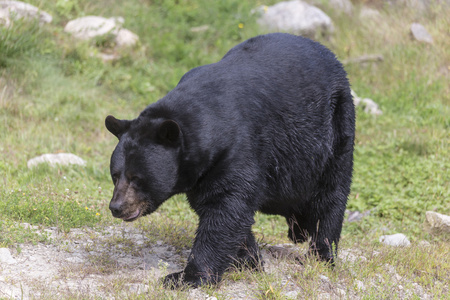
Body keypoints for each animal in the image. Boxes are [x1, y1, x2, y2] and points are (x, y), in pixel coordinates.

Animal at [105, 32, 356, 288]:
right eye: (115, 175)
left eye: (137, 178)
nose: (116, 207)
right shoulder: (202, 173)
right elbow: (224, 211)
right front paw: (249, 261)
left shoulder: (238, 149)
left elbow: (225, 209)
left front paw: (186, 276)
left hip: (333, 130)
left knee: (330, 195)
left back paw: (321, 255)